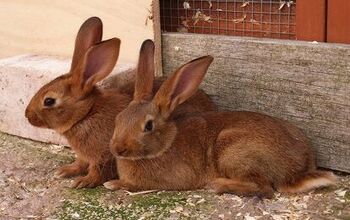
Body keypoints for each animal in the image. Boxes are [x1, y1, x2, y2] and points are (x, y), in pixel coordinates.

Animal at [25, 18, 216, 188]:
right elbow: (80, 163)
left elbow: (97, 171)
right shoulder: (85, 156)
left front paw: (83, 182)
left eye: (49, 101)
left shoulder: (104, 156)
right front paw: (65, 171)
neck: (86, 114)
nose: (27, 116)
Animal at [105, 55, 334, 199]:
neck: (165, 145)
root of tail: (295, 173)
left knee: (264, 188)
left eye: (148, 126)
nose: (118, 149)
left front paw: (112, 184)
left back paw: (219, 184)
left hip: (233, 151)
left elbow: (135, 185)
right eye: (118, 118)